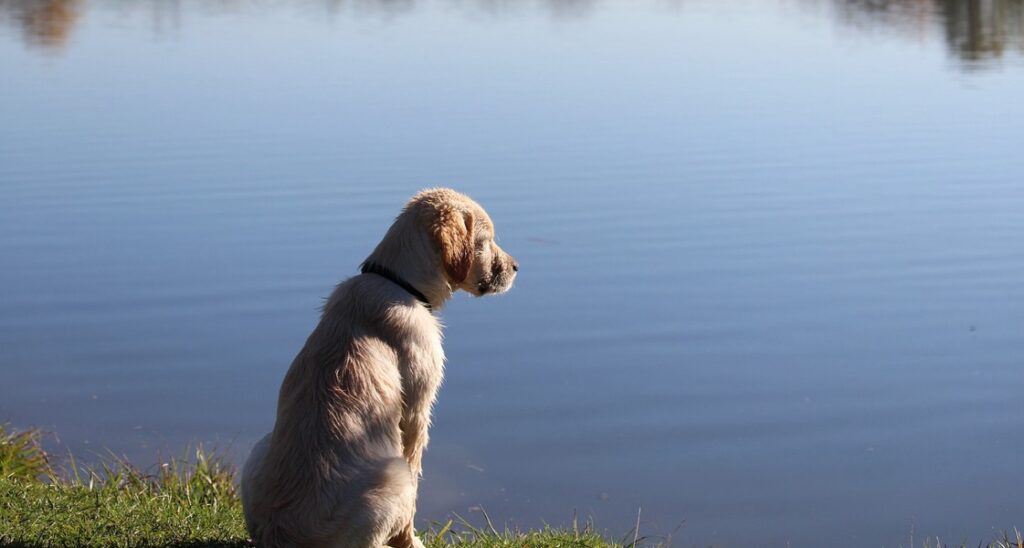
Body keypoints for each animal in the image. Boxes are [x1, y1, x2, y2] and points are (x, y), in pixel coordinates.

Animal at [240, 186, 520, 544]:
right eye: (485, 241)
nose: (516, 267)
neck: (398, 282)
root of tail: (280, 535)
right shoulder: (415, 413)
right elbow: (415, 482)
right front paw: (410, 542)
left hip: (258, 451)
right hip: (393, 475)